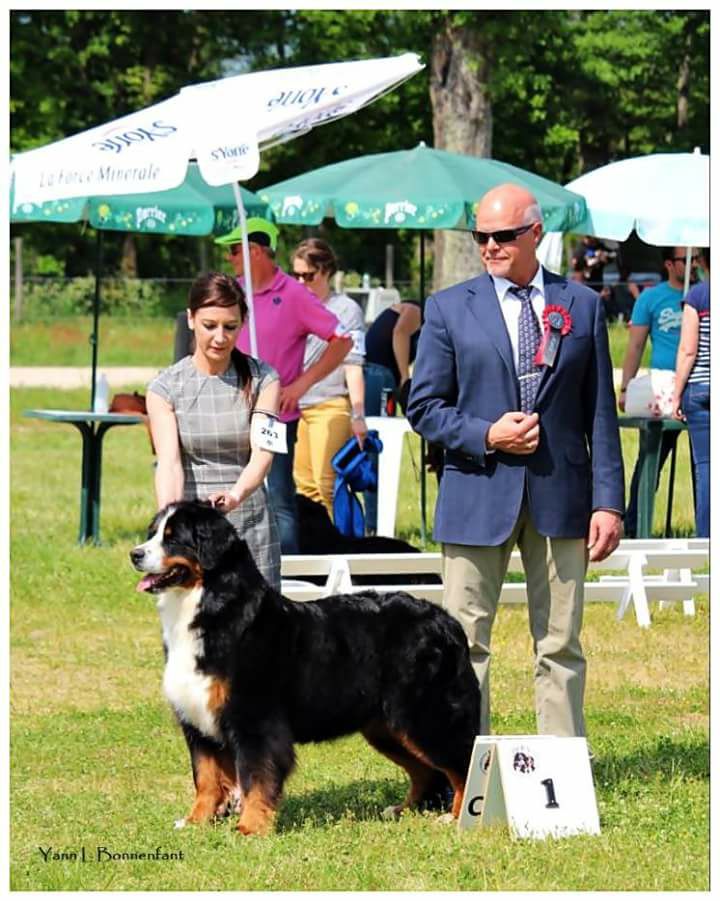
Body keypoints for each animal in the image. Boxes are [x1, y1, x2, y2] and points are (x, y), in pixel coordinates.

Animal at [131, 500, 478, 836]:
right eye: (153, 532)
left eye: (173, 538)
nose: (134, 554)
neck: (212, 609)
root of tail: (445, 620)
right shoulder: (198, 722)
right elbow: (205, 779)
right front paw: (195, 822)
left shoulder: (255, 720)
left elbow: (256, 777)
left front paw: (250, 827)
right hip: (387, 727)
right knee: (427, 771)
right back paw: (403, 810)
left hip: (424, 716)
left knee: (463, 762)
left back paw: (457, 818)